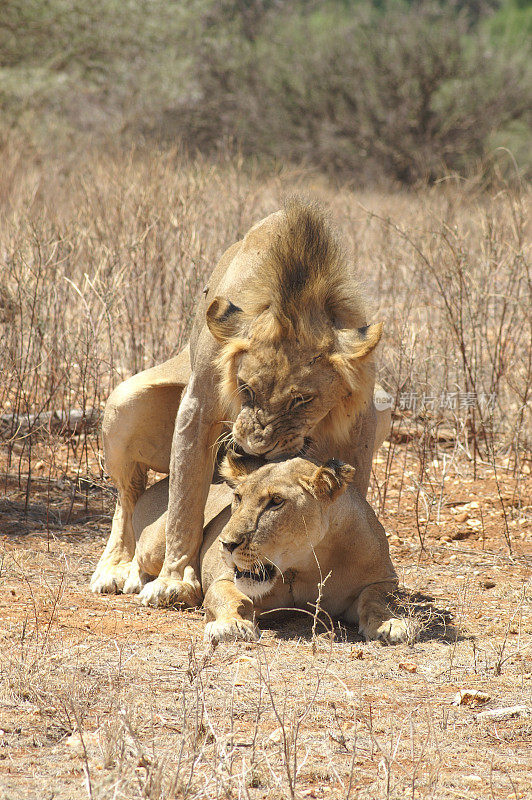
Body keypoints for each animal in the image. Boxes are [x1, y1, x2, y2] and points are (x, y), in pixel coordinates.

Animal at [90, 200, 386, 608]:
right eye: (245, 389)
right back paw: (118, 569)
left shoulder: (363, 413)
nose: (254, 450)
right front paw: (175, 583)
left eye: (302, 400)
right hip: (124, 401)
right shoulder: (197, 404)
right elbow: (184, 501)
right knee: (129, 494)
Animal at [127, 454, 410, 648]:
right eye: (238, 497)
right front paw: (232, 625)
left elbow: (376, 600)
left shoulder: (383, 580)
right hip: (157, 543)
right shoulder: (225, 579)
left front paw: (390, 624)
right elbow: (232, 599)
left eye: (275, 502)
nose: (226, 544)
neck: (306, 564)